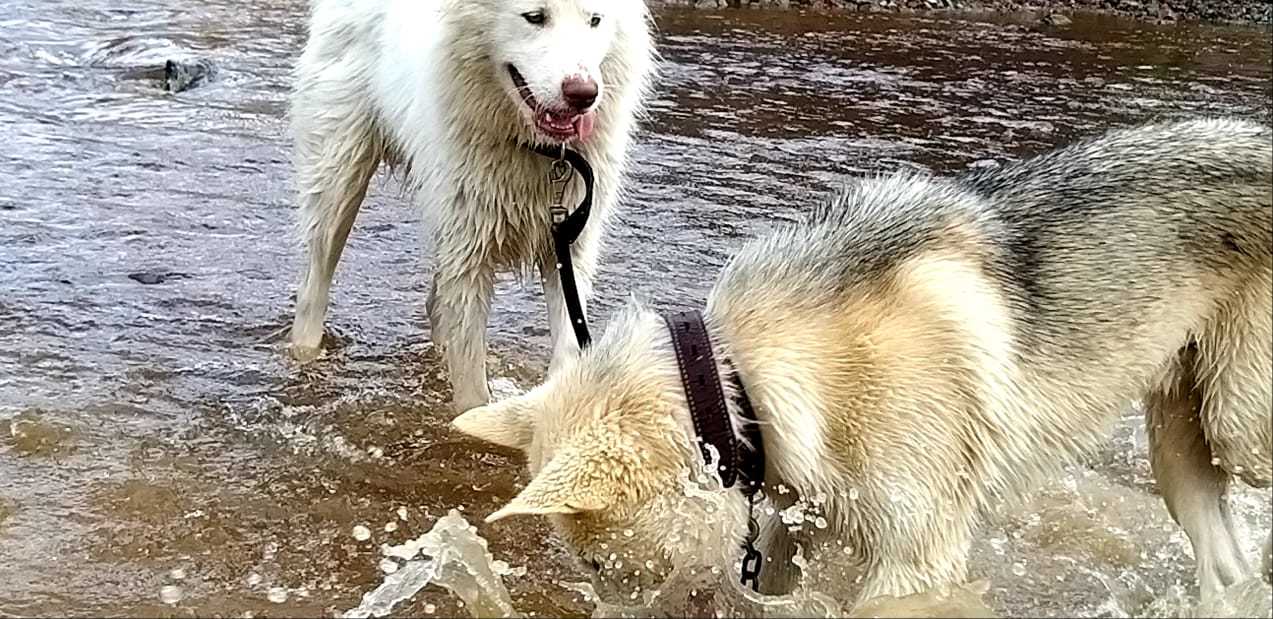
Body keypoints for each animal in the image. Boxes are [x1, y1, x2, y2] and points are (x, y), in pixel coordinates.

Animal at [287, 0, 656, 410]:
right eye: (535, 17)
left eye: (595, 21)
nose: (583, 93)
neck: (540, 150)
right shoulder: (470, 254)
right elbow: (471, 383)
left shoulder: (569, 245)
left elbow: (567, 347)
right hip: (339, 178)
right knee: (314, 287)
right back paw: (305, 354)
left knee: (435, 306)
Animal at [453, 119, 1267, 608]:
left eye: (597, 564)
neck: (738, 379)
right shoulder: (794, 537)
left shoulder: (915, 558)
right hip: (1181, 444)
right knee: (1227, 565)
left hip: (1238, 427)